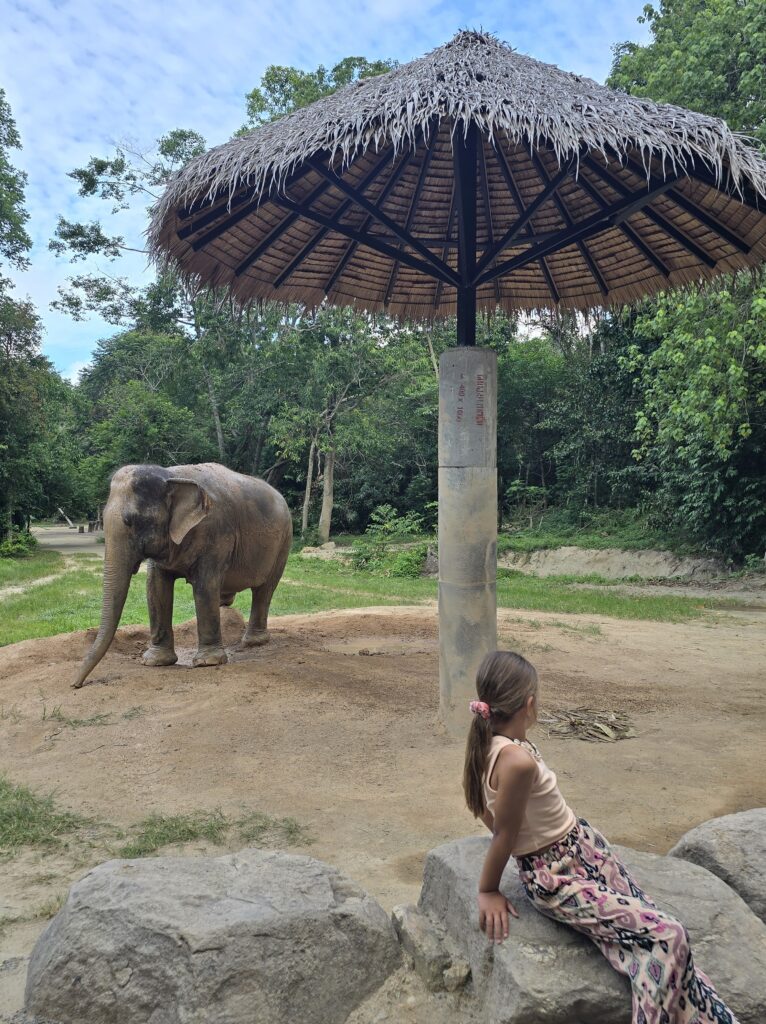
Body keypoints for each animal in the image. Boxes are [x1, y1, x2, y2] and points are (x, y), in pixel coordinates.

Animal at [73, 462, 292, 688]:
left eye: (130, 521)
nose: (76, 684)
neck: (171, 476)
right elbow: (156, 587)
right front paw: (155, 661)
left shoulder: (216, 533)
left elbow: (205, 586)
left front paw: (208, 662)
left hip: (284, 541)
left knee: (264, 590)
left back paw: (253, 642)